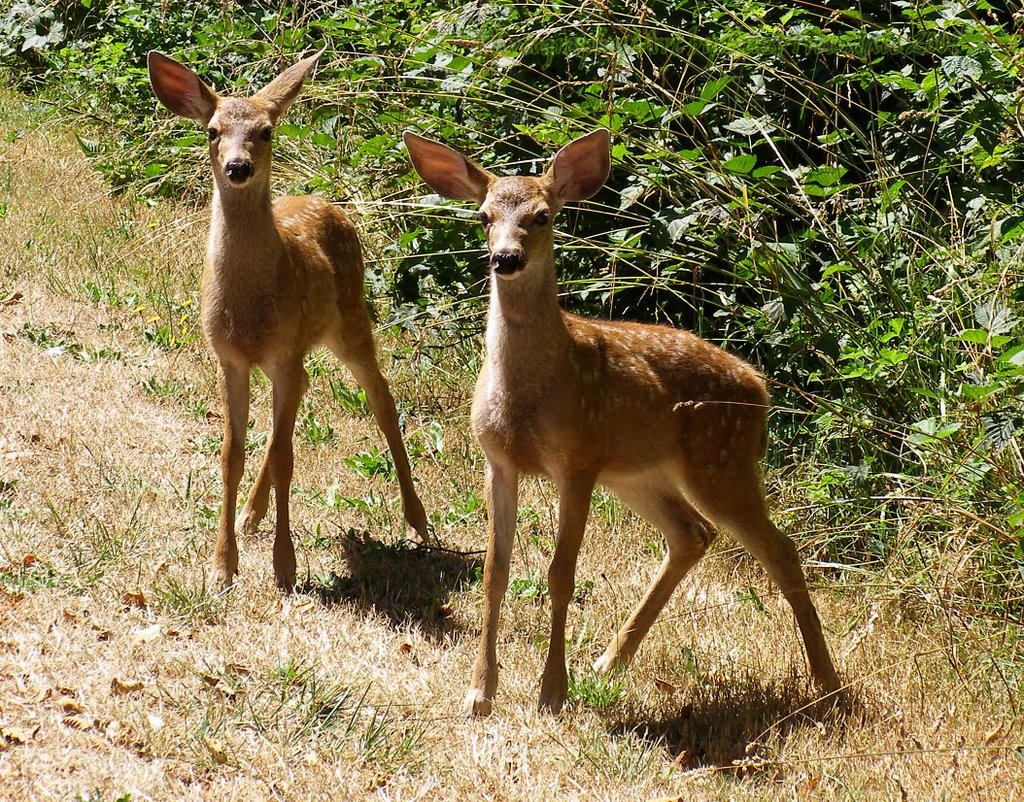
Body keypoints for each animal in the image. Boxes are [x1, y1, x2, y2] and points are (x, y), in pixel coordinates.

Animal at [148, 50, 428, 589]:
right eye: (212, 130)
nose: (238, 166)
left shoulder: (281, 356)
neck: (249, 308)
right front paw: (223, 564)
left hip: (351, 322)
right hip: (303, 348)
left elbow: (283, 459)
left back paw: (417, 519)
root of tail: (328, 203)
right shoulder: (231, 359)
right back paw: (249, 516)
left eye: (266, 131)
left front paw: (285, 566)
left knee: (382, 401)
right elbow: (232, 454)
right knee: (305, 401)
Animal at [401, 130, 839, 716]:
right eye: (483, 215)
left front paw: (551, 691)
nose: (505, 258)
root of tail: (761, 388)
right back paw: (609, 662)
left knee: (781, 551)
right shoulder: (499, 461)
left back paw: (827, 683)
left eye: (543, 216)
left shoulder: (577, 461)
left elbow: (560, 574)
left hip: (721, 462)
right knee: (691, 535)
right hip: (639, 474)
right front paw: (480, 693)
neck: (530, 394)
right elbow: (495, 571)